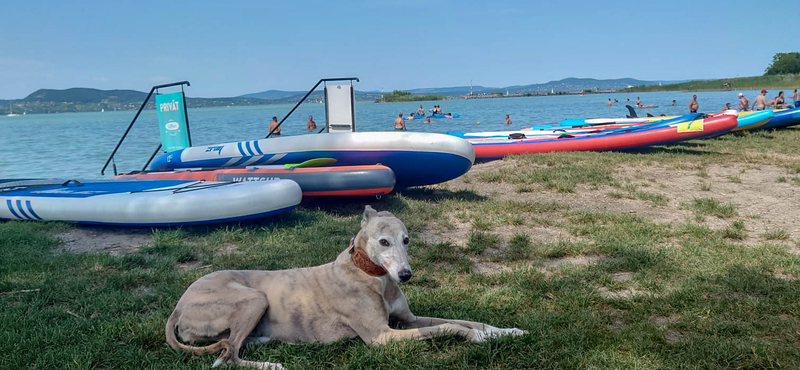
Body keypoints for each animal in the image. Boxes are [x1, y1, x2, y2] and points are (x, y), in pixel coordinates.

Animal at [164, 207, 524, 368]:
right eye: (383, 241)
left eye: (407, 240)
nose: (406, 275)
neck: (373, 276)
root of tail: (178, 307)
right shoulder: (382, 337)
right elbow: (450, 327)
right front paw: (479, 338)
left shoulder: (408, 320)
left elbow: (467, 320)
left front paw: (503, 331)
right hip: (254, 298)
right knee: (227, 356)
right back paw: (270, 364)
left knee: (229, 347)